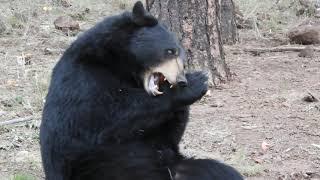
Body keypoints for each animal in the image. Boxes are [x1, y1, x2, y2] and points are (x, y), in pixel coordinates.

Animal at [39, 1, 242, 180]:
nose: (181, 80)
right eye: (170, 51)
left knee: (220, 171)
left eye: (183, 60)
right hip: (101, 169)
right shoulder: (83, 79)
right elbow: (106, 117)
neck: (119, 64)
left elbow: (166, 136)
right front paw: (196, 83)